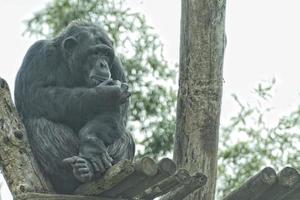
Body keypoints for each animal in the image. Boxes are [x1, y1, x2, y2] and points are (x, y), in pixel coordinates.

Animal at [14, 20, 135, 194]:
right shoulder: (37, 55)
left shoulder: (117, 67)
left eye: (106, 54)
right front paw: (105, 94)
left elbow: (117, 115)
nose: (103, 64)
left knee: (125, 136)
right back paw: (78, 173)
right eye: (95, 53)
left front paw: (91, 143)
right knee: (40, 125)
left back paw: (89, 169)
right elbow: (33, 93)